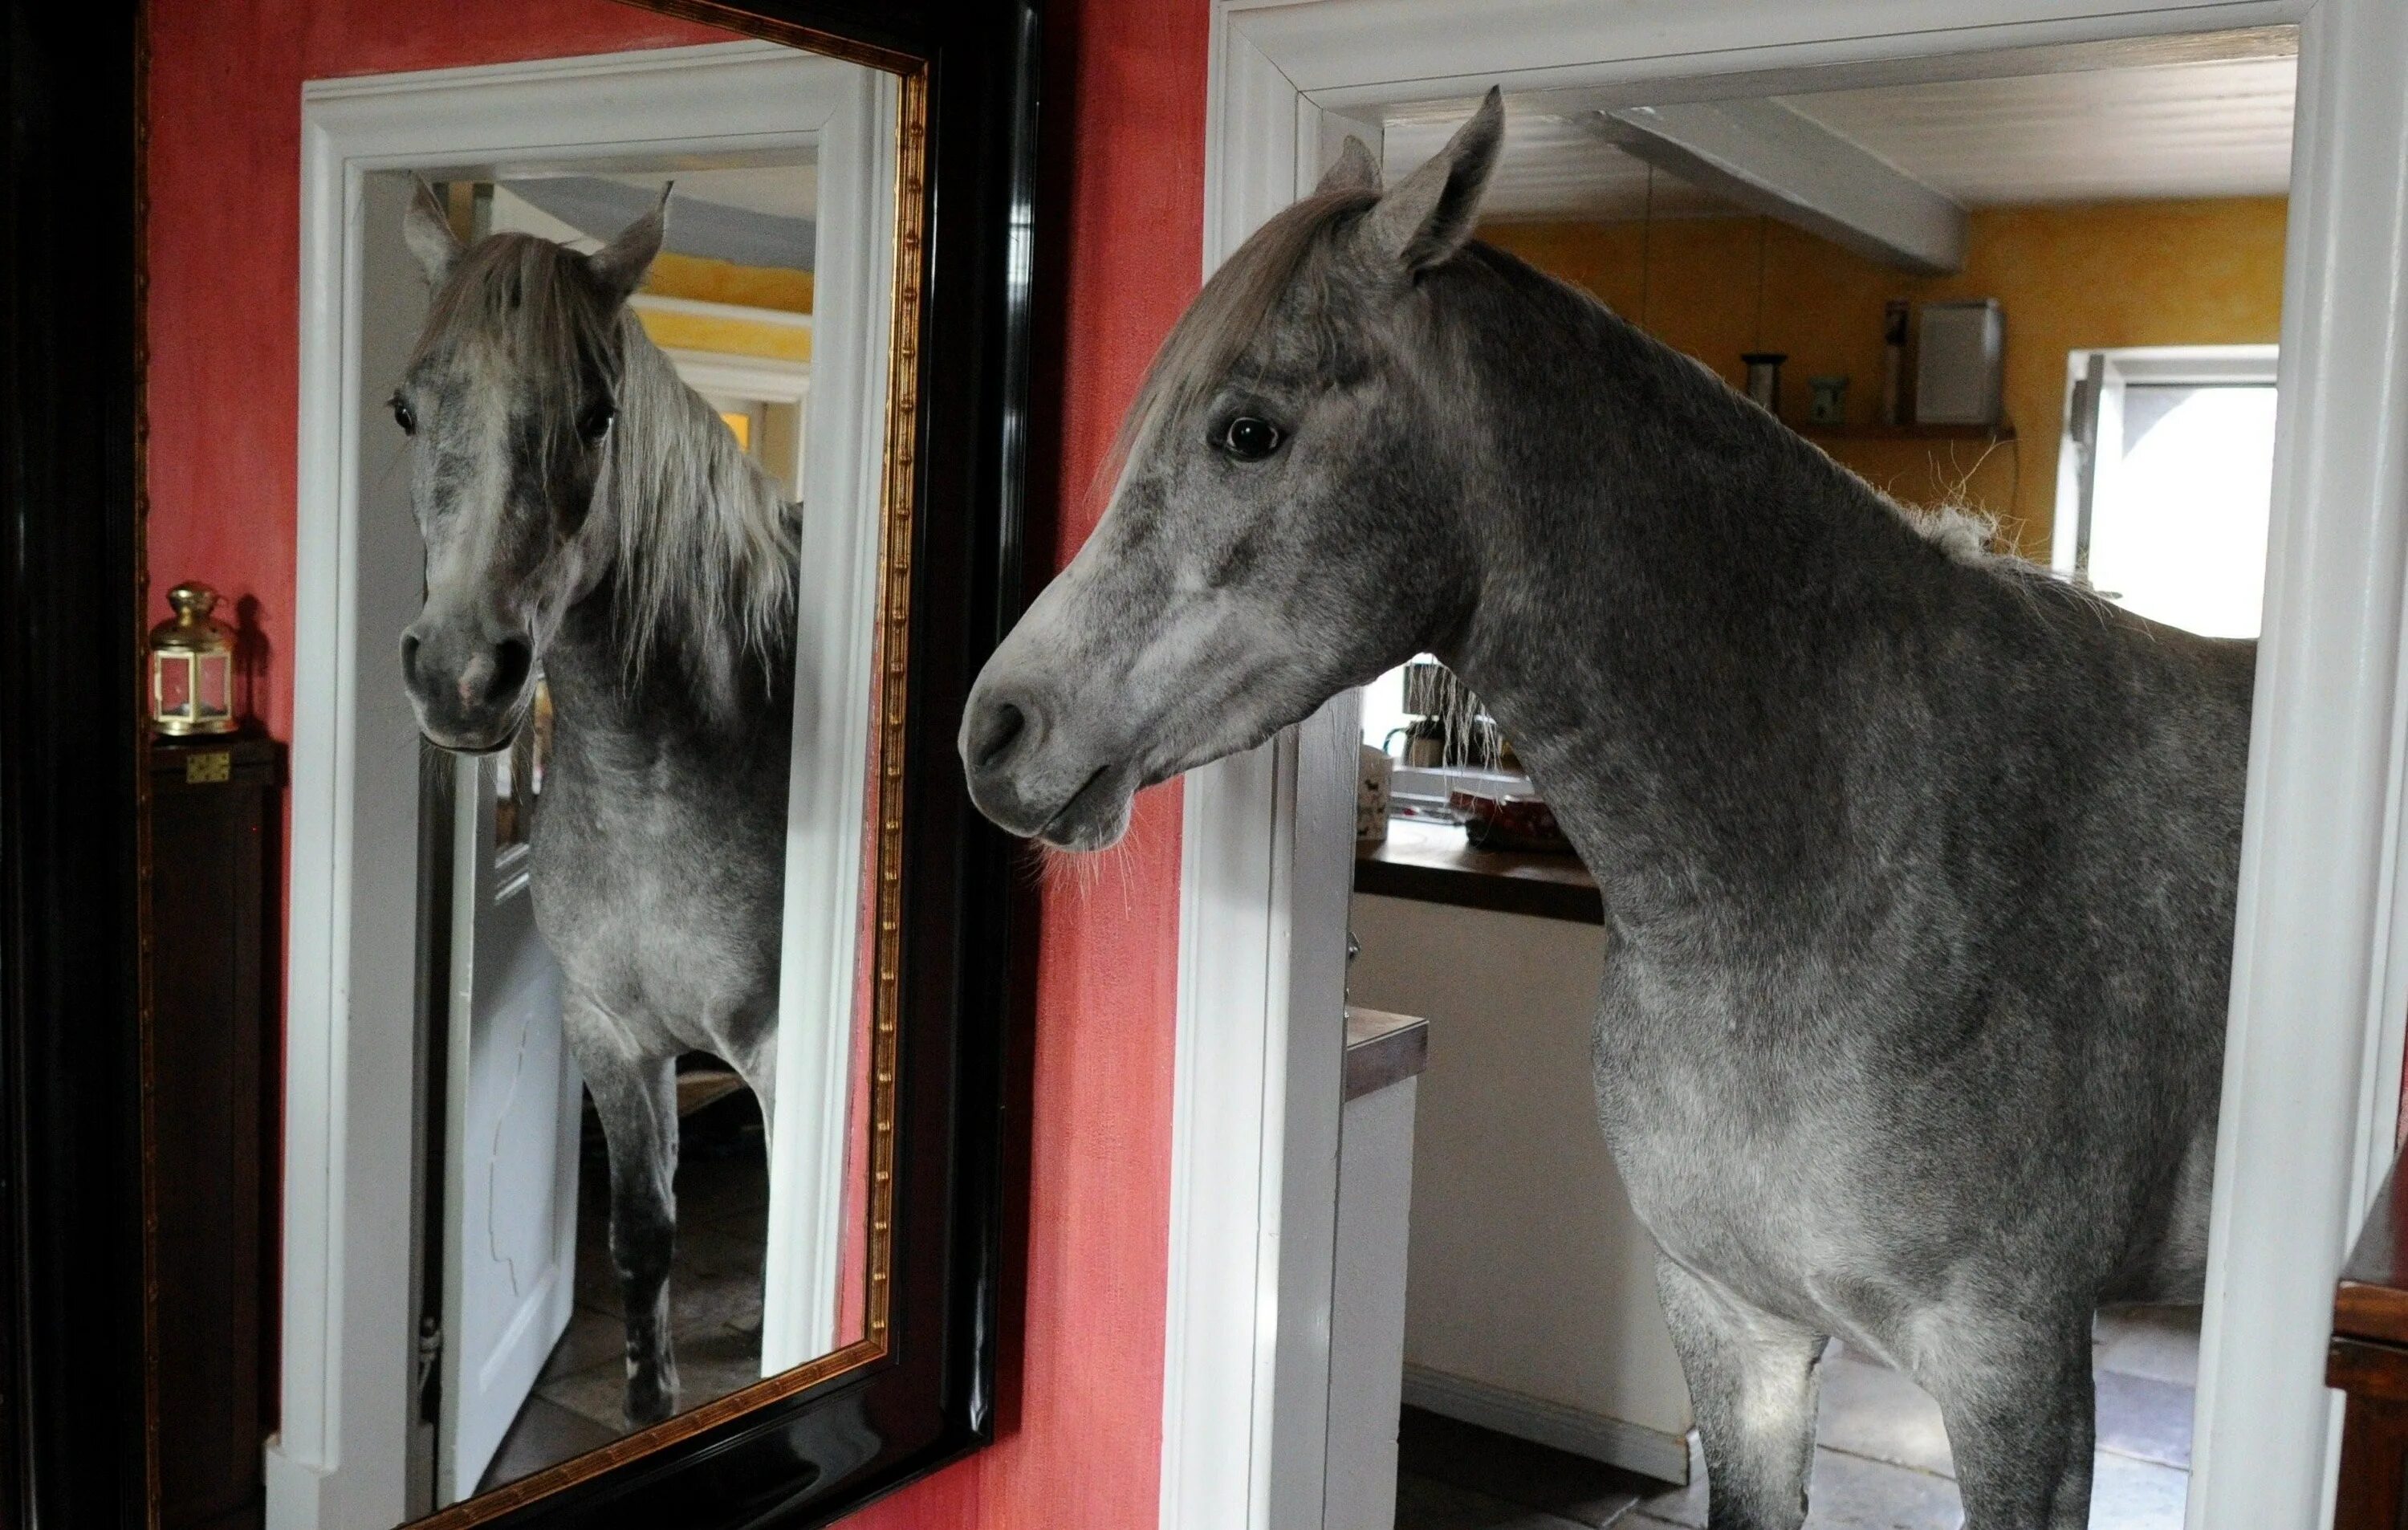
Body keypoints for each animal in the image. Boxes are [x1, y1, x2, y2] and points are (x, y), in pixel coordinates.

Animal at [395, 185, 799, 1426]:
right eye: (405, 409)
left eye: (596, 416)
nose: (462, 675)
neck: (653, 783)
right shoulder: (615, 1035)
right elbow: (643, 1233)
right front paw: (649, 1401)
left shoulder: (777, 1051)